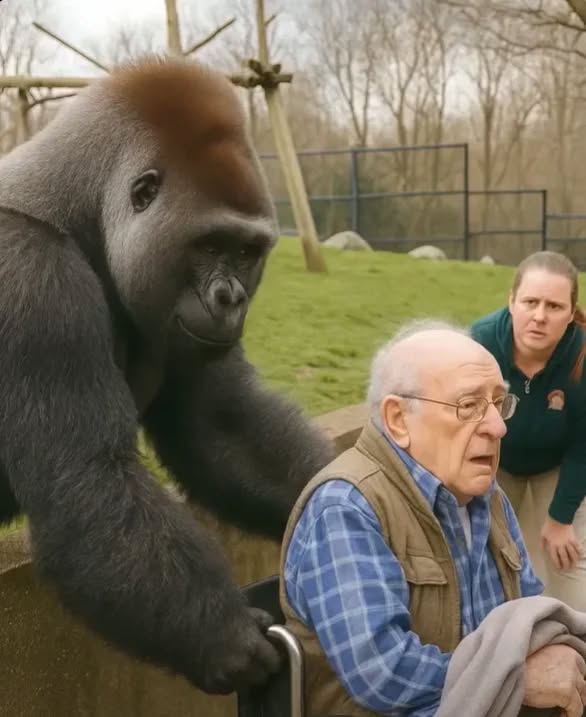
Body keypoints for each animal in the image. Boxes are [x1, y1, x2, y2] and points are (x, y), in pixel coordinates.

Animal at [0, 55, 334, 695]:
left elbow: (221, 428)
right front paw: (222, 634)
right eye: (209, 245)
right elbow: (86, 477)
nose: (231, 299)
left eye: (247, 252)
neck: (75, 208)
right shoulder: (27, 277)